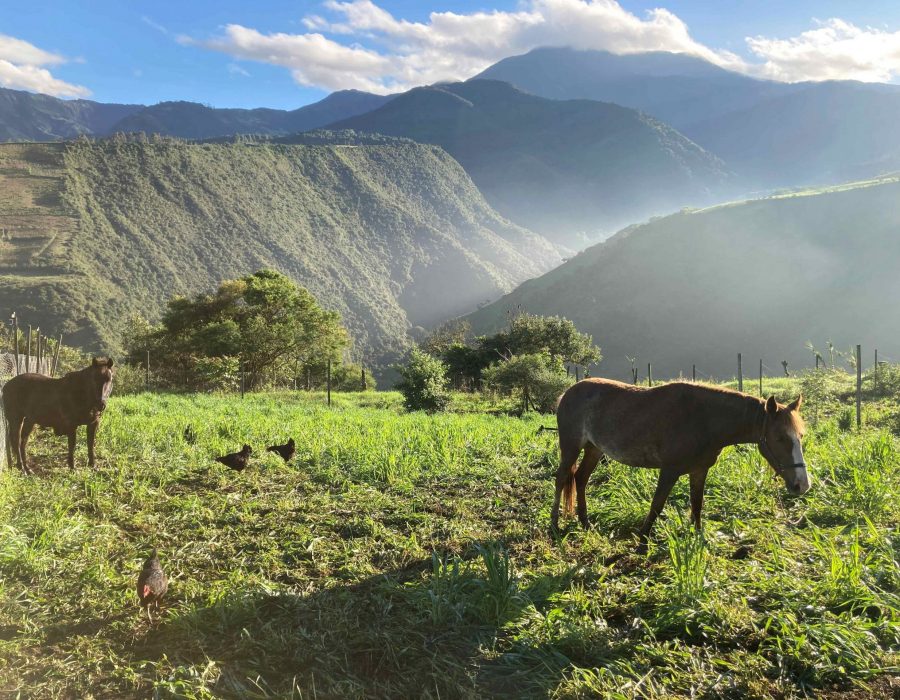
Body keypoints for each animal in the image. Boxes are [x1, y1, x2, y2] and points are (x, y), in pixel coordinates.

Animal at [552, 378, 812, 552]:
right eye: (780, 438)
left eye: (800, 436)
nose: (802, 485)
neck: (704, 420)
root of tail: (568, 392)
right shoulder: (669, 471)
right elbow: (657, 505)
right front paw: (642, 542)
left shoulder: (699, 471)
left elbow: (697, 504)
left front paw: (698, 537)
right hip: (571, 447)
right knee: (561, 478)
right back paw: (554, 526)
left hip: (594, 449)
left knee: (580, 479)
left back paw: (585, 523)